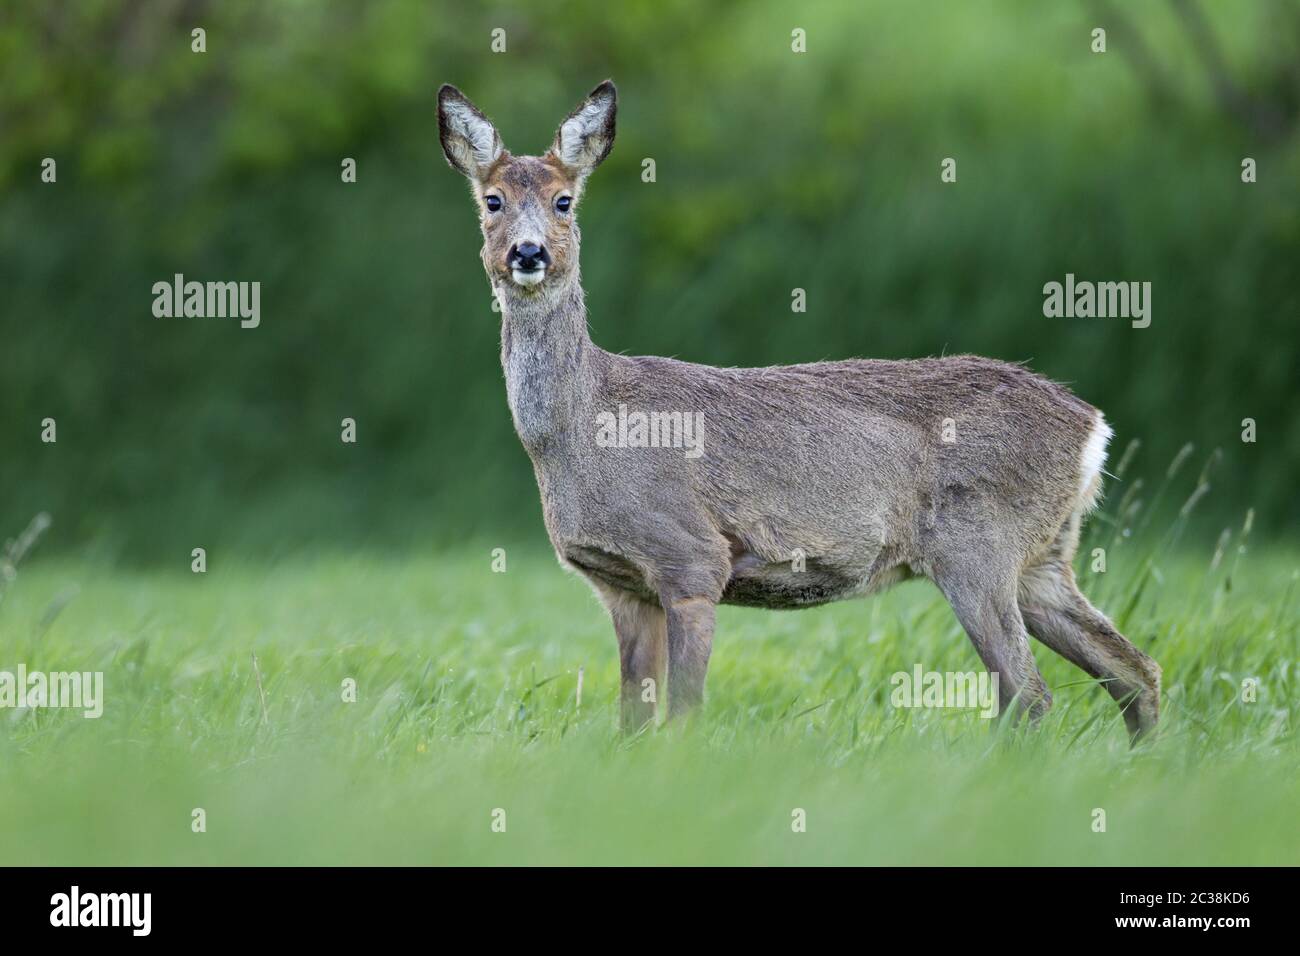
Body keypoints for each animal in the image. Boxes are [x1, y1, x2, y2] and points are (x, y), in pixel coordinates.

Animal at [436, 80, 1159, 738]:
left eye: (564, 200)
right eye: (493, 200)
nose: (529, 253)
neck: (584, 428)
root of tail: (1092, 428)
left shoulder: (691, 557)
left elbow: (684, 714)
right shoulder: (621, 584)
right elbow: (632, 723)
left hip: (979, 547)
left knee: (1031, 695)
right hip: (1042, 559)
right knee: (1134, 671)